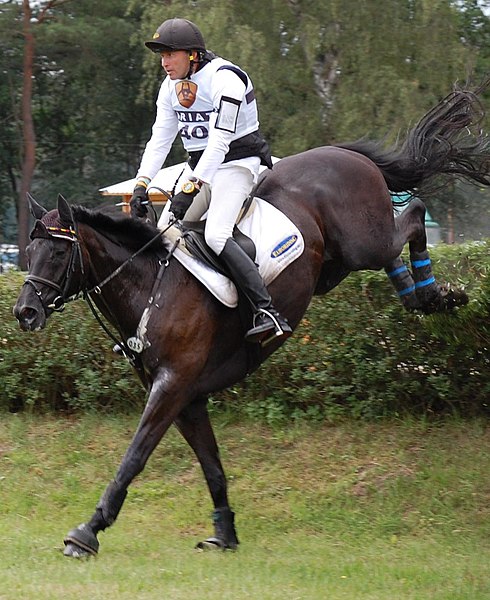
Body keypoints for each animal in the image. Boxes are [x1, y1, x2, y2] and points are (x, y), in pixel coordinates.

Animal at [13, 86, 488, 556]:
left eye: (58, 252)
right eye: (30, 252)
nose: (24, 312)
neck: (150, 286)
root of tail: (343, 152)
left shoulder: (172, 386)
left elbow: (135, 456)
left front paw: (88, 530)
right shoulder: (187, 398)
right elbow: (212, 466)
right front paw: (224, 532)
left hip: (362, 242)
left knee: (413, 215)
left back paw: (437, 292)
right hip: (337, 264)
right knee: (395, 247)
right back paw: (420, 295)